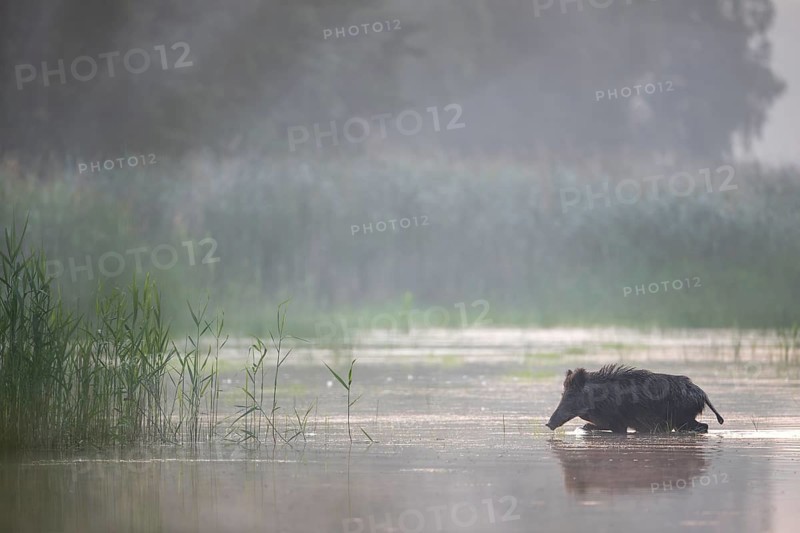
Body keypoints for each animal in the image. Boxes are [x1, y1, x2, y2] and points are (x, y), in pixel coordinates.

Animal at [545, 365, 724, 434]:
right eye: (563, 394)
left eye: (571, 395)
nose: (548, 424)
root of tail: (702, 393)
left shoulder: (618, 423)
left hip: (683, 418)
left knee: (704, 426)